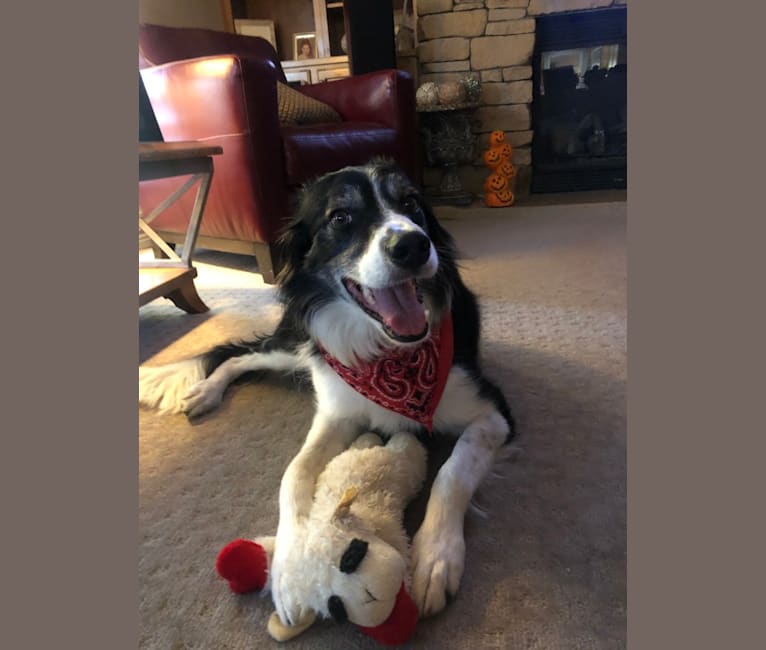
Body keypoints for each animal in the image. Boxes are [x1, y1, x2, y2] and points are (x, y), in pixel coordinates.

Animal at [141, 157, 520, 624]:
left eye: (411, 203)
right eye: (340, 217)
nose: (413, 245)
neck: (388, 355)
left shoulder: (492, 412)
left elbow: (452, 472)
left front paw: (435, 558)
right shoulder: (338, 409)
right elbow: (294, 473)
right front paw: (287, 571)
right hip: (300, 343)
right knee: (240, 357)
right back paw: (205, 391)